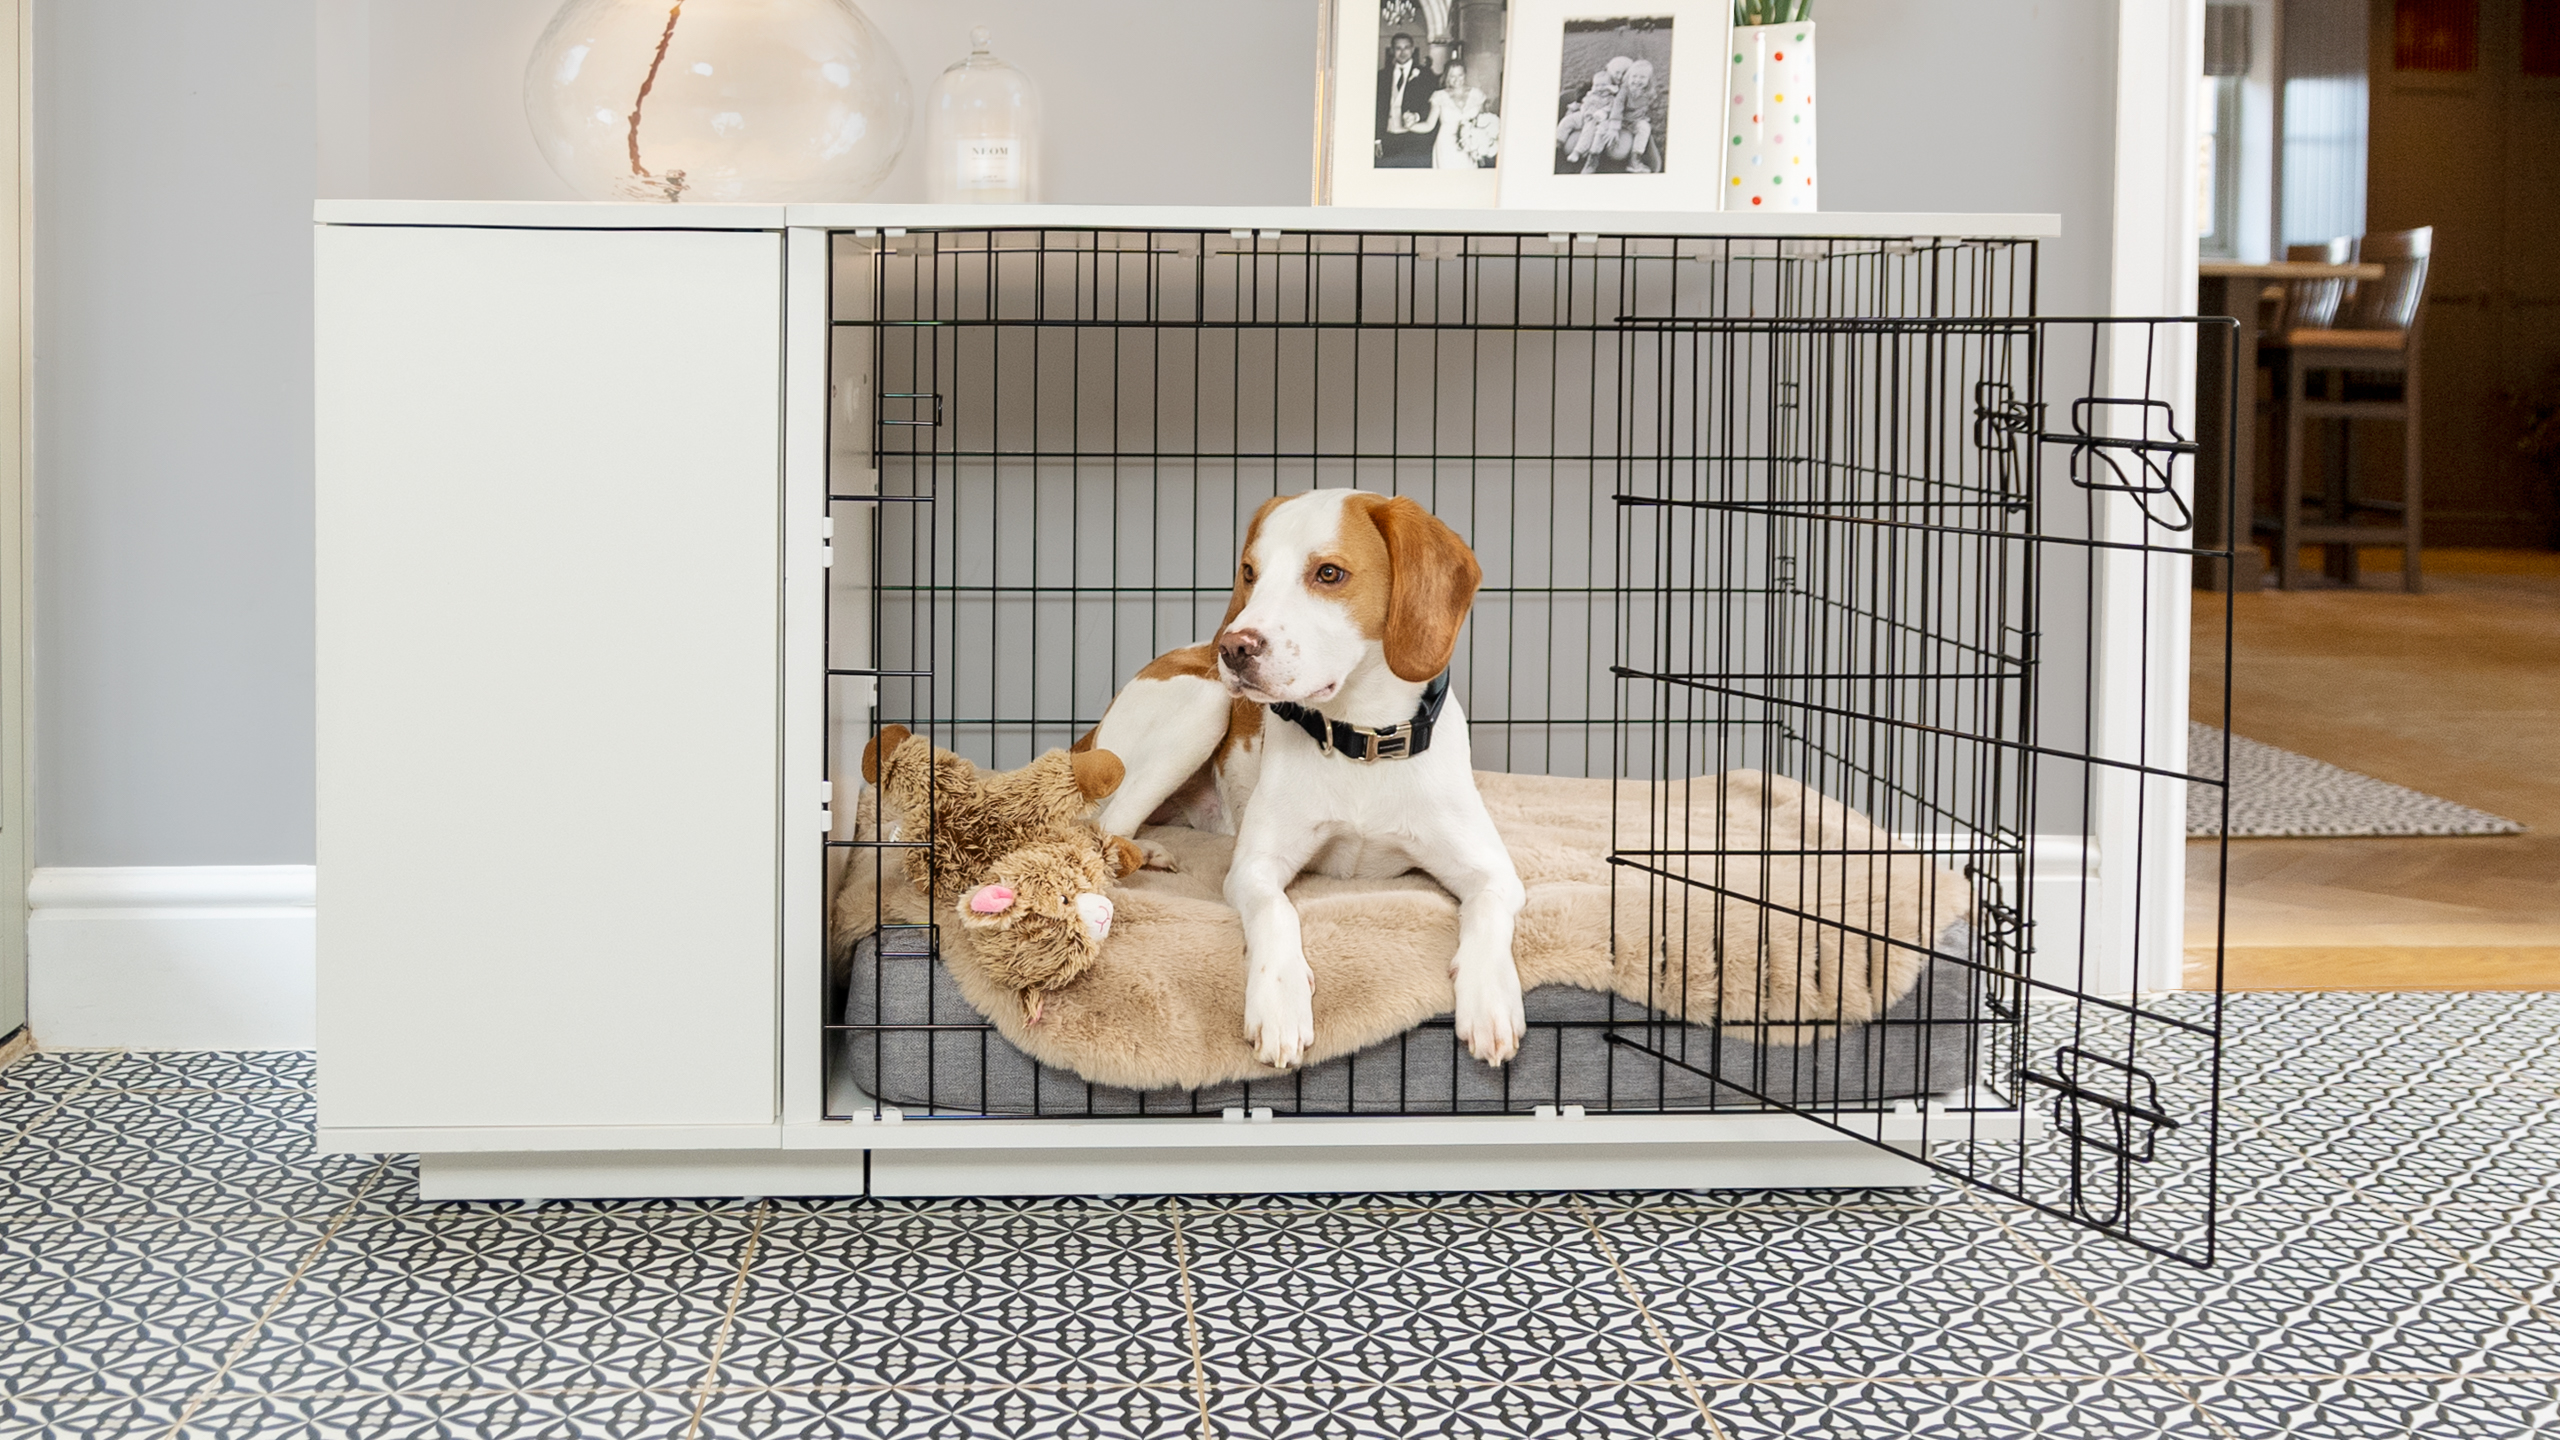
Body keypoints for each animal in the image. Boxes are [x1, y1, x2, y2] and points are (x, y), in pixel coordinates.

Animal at [1075, 489, 1515, 1065]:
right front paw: (1279, 1000)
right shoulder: (1254, 868)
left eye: (1329, 573)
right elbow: (1277, 912)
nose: (1233, 647)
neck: (1361, 739)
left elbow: (1489, 913)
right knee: (1099, 832)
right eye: (1250, 572)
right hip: (1205, 702)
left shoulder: (1495, 872)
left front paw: (1490, 998)